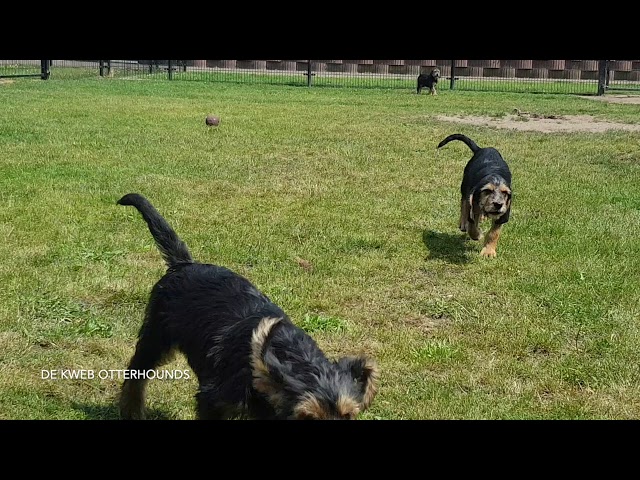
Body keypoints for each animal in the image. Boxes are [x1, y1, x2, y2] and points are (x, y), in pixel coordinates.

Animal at [115, 193, 378, 418]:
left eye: (348, 414)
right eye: (307, 417)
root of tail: (184, 264)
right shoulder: (213, 400)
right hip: (156, 336)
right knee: (135, 375)